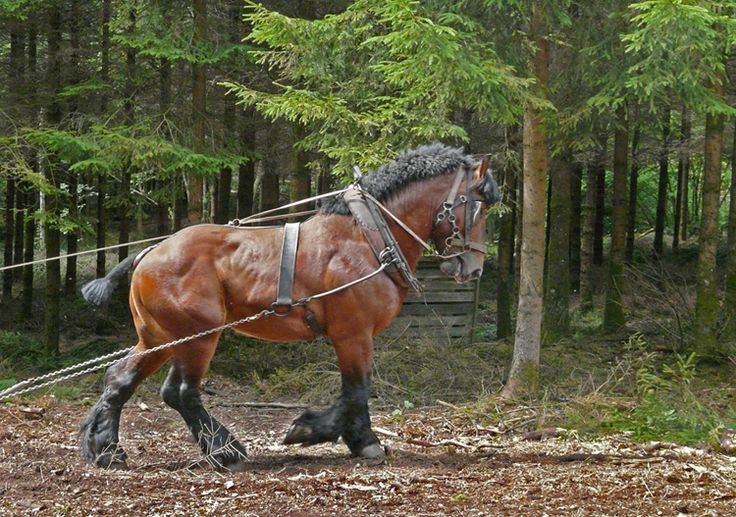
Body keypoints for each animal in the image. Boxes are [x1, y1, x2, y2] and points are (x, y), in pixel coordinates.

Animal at [80, 143, 500, 470]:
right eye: (480, 206)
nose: (474, 267)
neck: (367, 238)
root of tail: (151, 251)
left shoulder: (355, 335)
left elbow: (355, 390)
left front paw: (352, 438)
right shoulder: (353, 333)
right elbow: (356, 389)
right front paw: (327, 433)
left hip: (159, 337)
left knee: (120, 378)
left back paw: (105, 448)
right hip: (197, 337)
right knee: (181, 392)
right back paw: (225, 450)